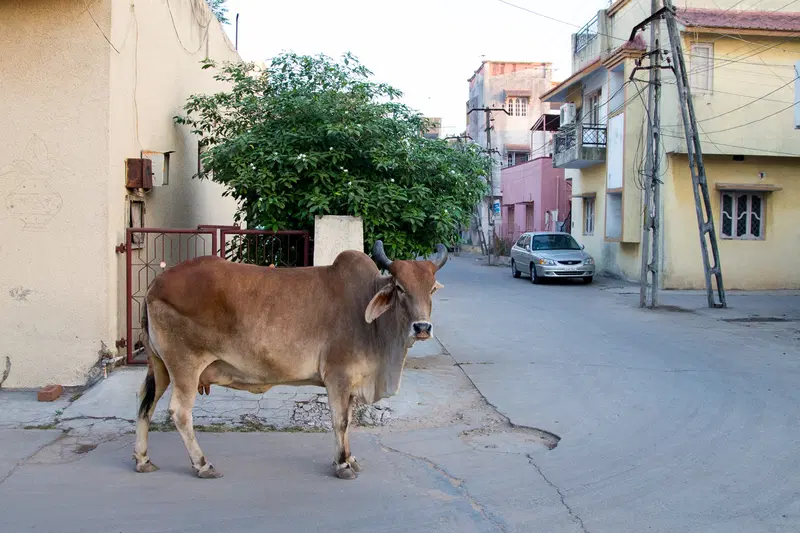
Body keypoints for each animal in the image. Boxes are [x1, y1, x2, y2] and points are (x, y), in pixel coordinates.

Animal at [133, 240, 447, 480]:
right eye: (400, 288)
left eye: (431, 288)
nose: (422, 327)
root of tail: (155, 284)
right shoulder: (338, 377)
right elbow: (341, 421)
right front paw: (342, 464)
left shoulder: (350, 384)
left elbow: (347, 422)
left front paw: (350, 458)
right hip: (185, 366)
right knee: (179, 413)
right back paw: (202, 464)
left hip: (159, 367)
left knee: (146, 404)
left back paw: (142, 459)